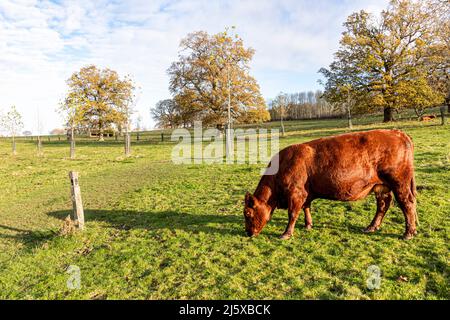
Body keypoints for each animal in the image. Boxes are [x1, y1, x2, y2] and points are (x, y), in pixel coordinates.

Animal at [243, 129, 418, 239]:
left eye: (248, 213)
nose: (248, 233)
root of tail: (397, 132)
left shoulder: (295, 193)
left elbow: (292, 214)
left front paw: (286, 234)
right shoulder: (306, 193)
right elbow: (306, 208)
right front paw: (308, 225)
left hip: (399, 182)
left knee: (407, 203)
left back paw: (408, 233)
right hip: (381, 186)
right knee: (383, 205)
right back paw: (372, 227)